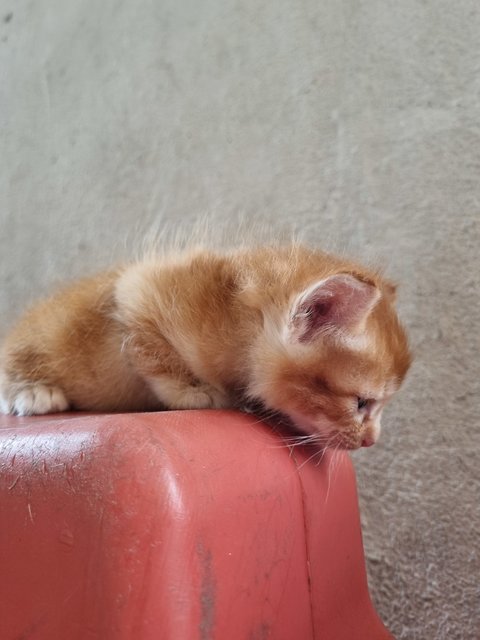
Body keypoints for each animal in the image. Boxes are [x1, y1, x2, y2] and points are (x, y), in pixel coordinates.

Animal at [0, 242, 410, 448]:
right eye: (361, 403)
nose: (370, 441)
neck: (237, 320)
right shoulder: (138, 289)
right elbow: (150, 349)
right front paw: (195, 391)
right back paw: (31, 391)